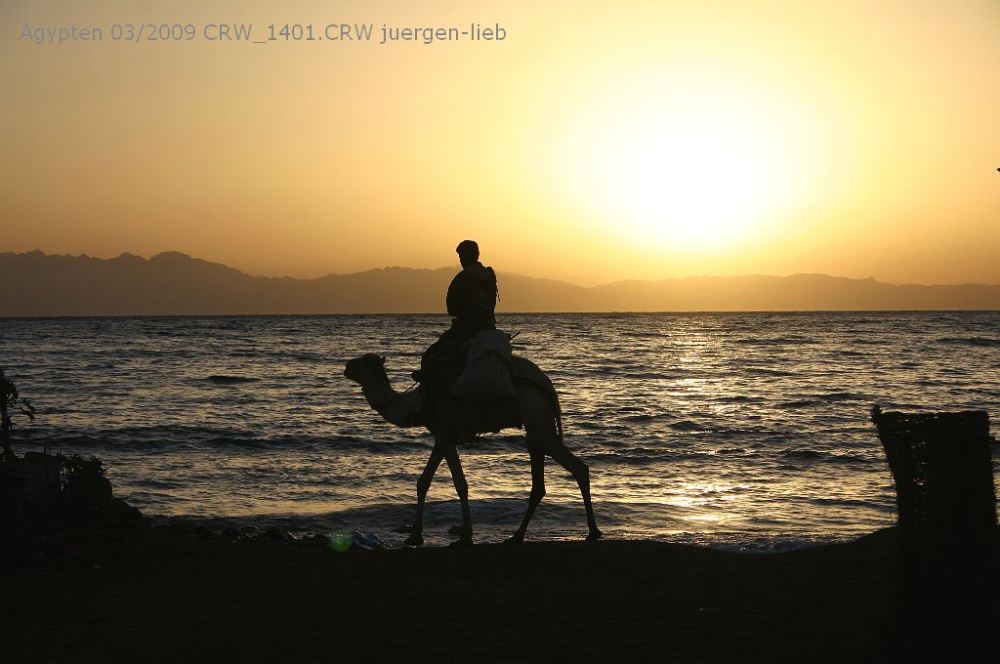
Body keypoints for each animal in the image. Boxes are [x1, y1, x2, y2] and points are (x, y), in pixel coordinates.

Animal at [344, 352, 596, 544]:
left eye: (363, 361)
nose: (346, 367)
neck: (415, 405)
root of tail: (547, 384)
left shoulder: (445, 432)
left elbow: (460, 483)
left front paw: (465, 535)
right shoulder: (441, 437)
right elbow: (423, 482)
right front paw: (415, 534)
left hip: (536, 414)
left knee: (577, 467)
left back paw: (592, 531)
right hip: (536, 425)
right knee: (541, 482)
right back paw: (517, 536)